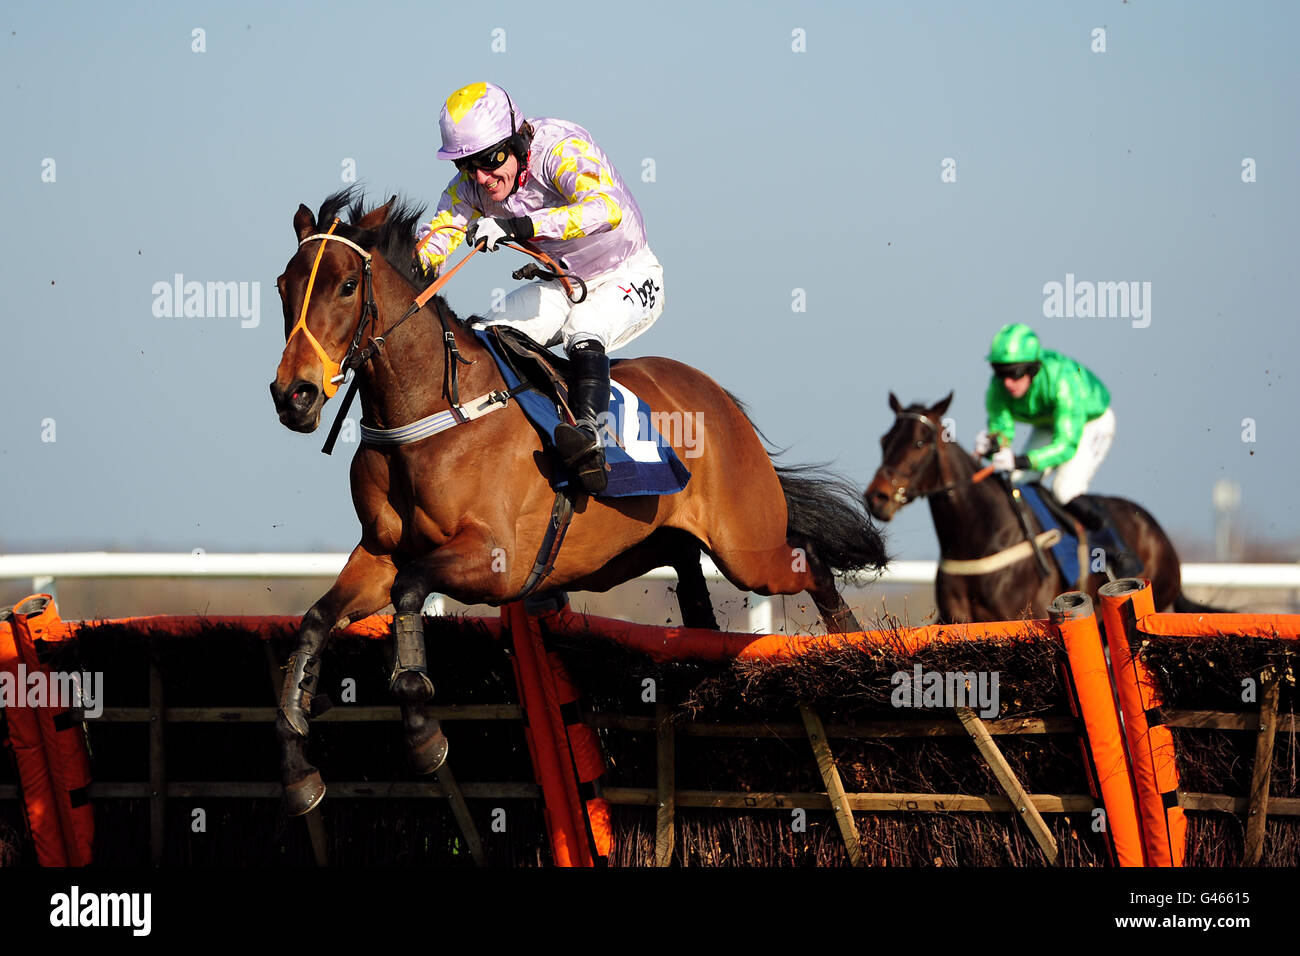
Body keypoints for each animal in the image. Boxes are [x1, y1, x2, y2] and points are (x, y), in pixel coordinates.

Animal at [269, 188, 889, 816]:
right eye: (282, 286)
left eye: (348, 285)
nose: (293, 394)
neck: (434, 414)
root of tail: (719, 398)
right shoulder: (378, 553)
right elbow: (316, 622)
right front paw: (298, 766)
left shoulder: (498, 560)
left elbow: (410, 590)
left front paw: (423, 734)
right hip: (639, 551)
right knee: (699, 593)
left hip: (747, 549)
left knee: (808, 559)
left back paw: (853, 641)